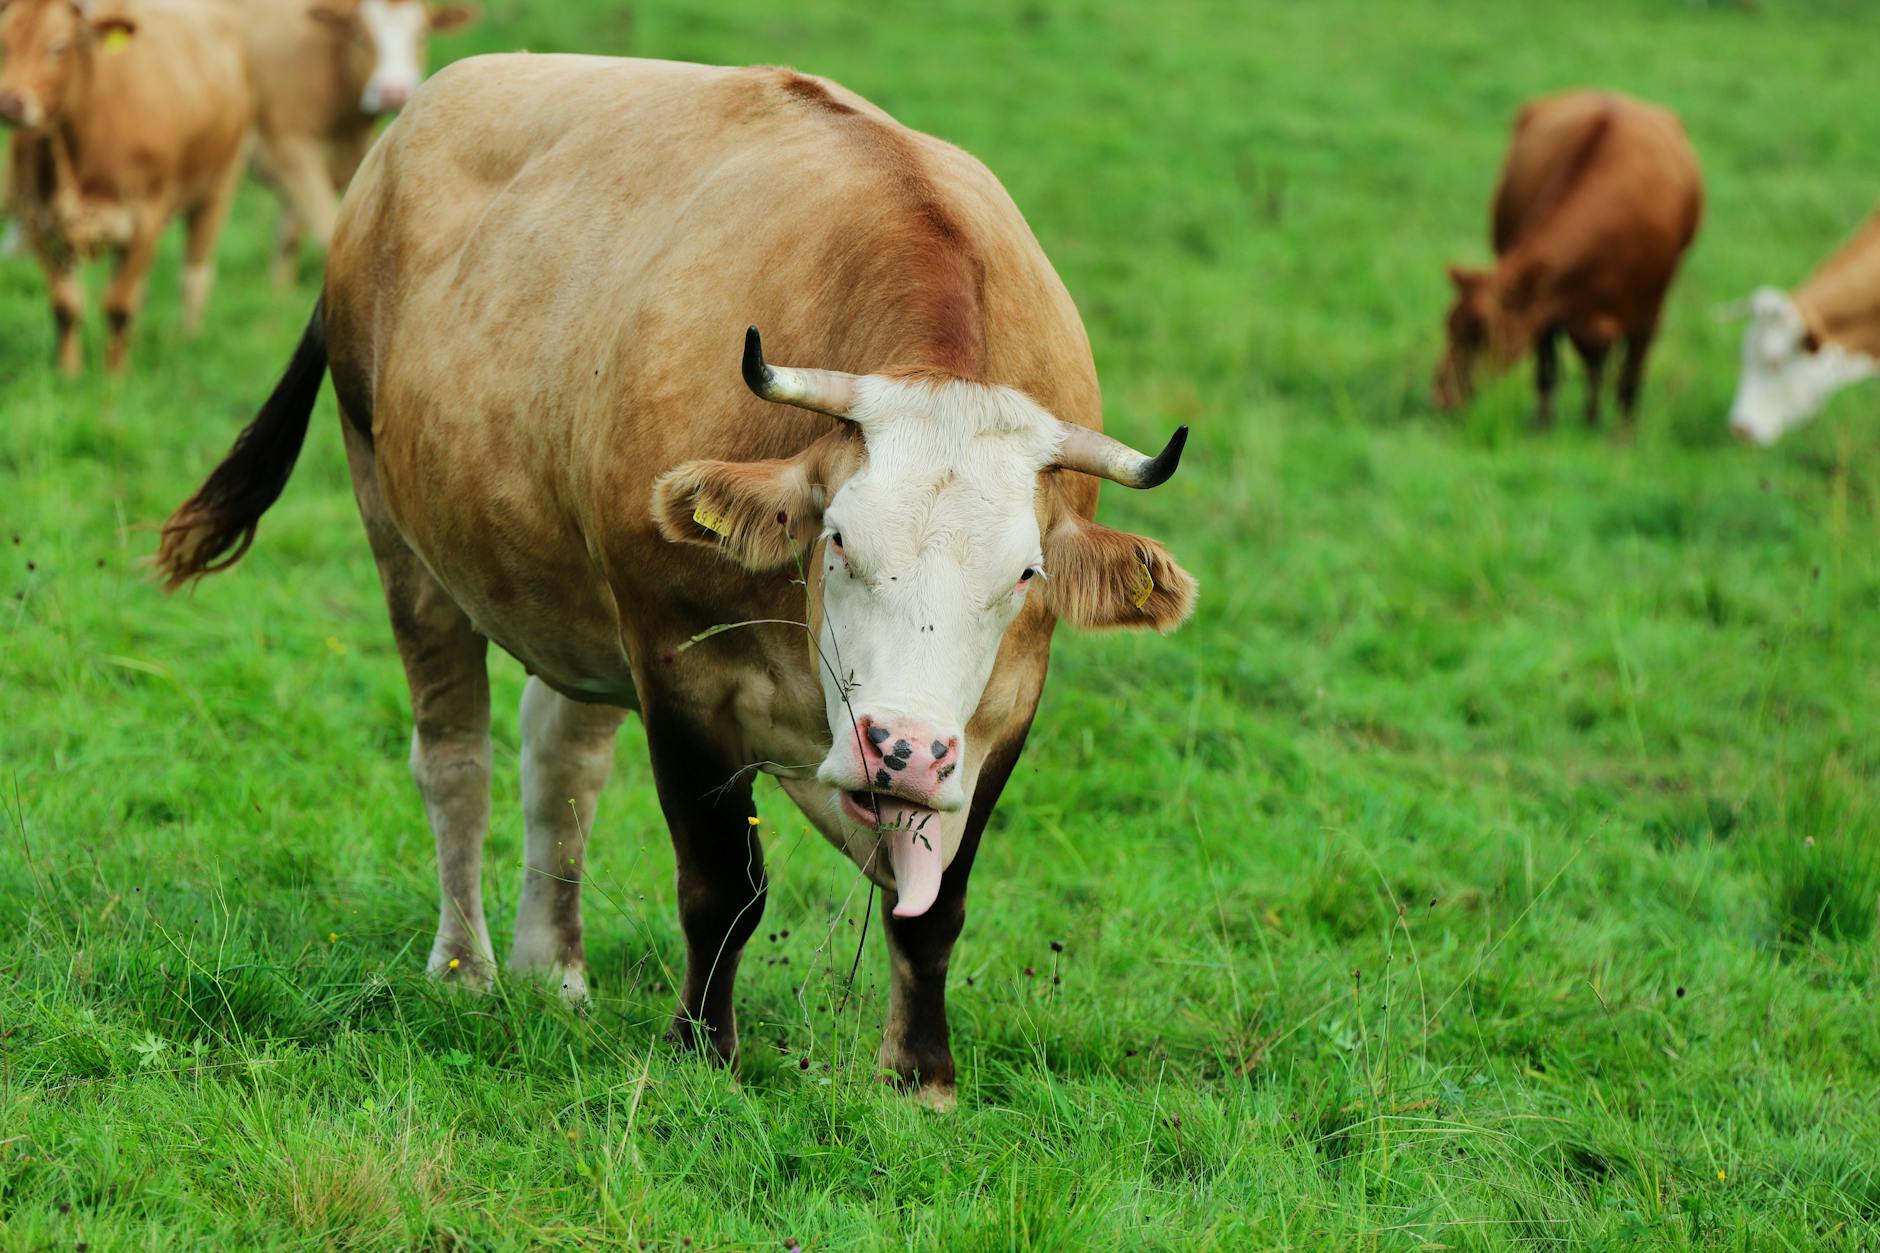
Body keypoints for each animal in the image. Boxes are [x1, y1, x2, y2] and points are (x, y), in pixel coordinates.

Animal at [0, 0, 253, 374]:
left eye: (58, 47)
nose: (10, 103)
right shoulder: (37, 220)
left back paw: (188, 338)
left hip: (219, 187)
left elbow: (118, 305)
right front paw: (69, 373)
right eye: (3, 44)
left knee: (194, 274)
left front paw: (115, 374)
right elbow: (66, 305)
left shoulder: (146, 216)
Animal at [156, 55, 1199, 1107]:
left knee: (561, 762)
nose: (902, 750)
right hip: (400, 534)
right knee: (456, 761)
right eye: (837, 540)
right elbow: (724, 885)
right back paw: (466, 968)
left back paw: (553, 967)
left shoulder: (1002, 713)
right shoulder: (680, 669)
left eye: (1024, 573)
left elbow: (934, 904)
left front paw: (922, 1075)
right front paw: (704, 1046)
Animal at [237, 0, 476, 284]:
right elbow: (325, 230)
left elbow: (289, 236)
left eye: (421, 36)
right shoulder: (289, 151)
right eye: (360, 37)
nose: (393, 92)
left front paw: (278, 289)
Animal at [1433, 90, 1703, 430]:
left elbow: (1630, 379)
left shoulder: (1649, 314)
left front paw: (1622, 435)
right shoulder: (1544, 310)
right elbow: (1547, 372)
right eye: (1449, 325)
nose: (1440, 396)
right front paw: (1543, 426)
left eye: (1481, 332)